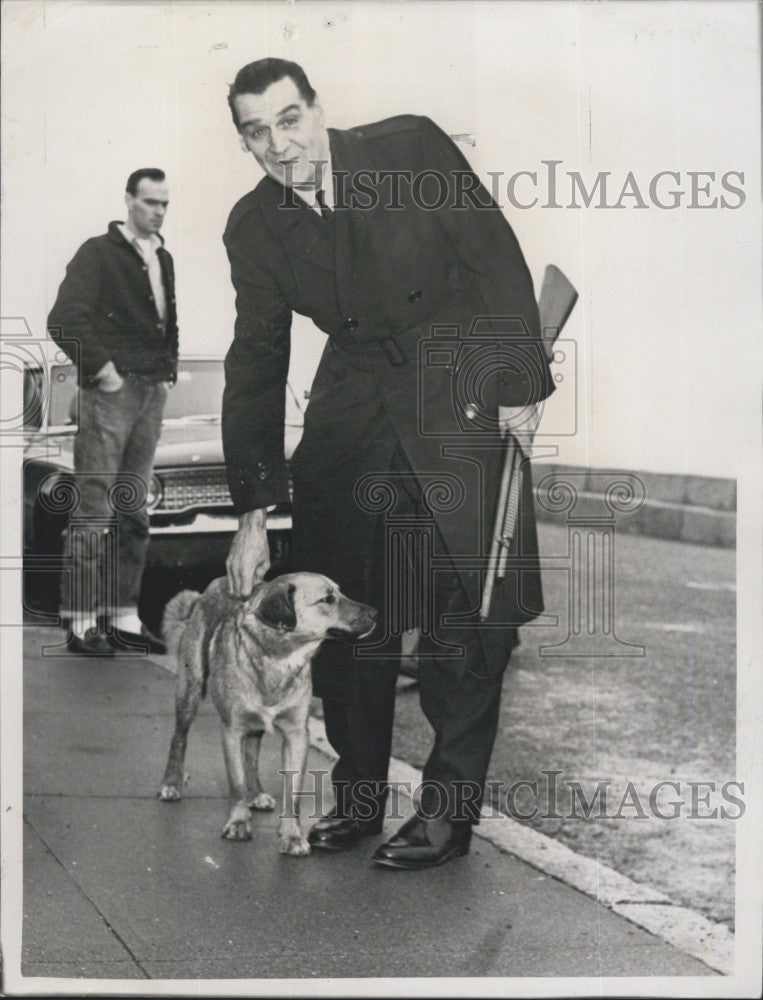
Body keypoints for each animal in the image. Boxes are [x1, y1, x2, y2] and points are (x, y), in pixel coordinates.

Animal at [157, 576, 378, 856]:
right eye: (327, 599)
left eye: (341, 592)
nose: (376, 613)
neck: (279, 655)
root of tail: (219, 581)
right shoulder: (232, 730)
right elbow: (236, 783)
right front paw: (238, 823)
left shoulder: (297, 735)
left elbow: (291, 792)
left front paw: (292, 836)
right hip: (190, 691)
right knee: (179, 739)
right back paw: (171, 783)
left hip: (254, 725)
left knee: (251, 756)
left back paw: (256, 793)